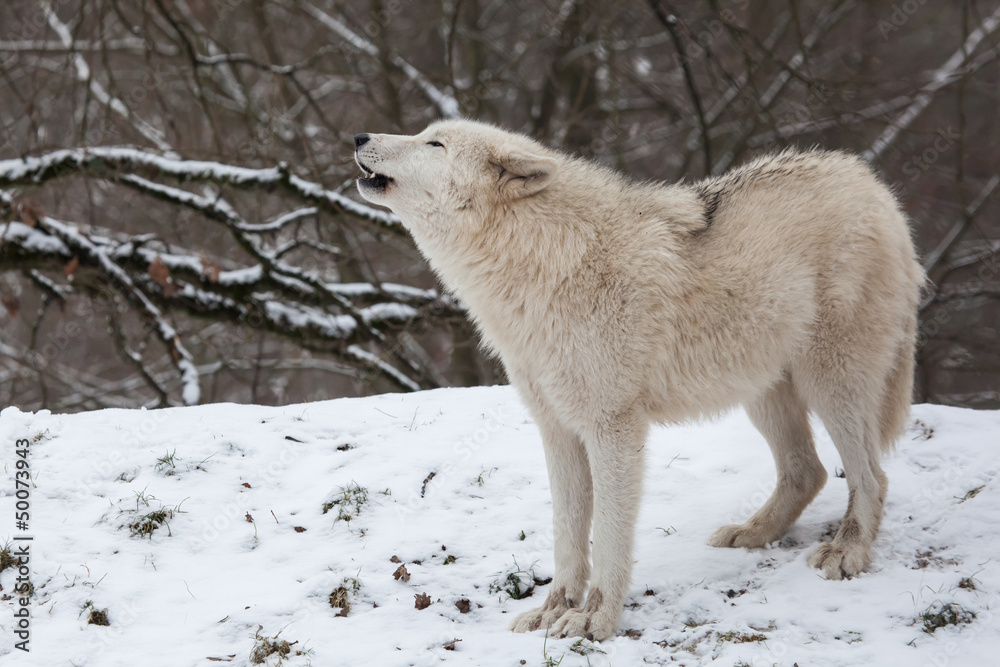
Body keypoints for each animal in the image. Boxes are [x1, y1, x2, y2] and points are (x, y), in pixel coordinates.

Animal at [354, 120, 924, 641]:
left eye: (434, 143)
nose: (358, 138)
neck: (546, 261)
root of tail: (872, 184)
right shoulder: (557, 429)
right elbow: (566, 534)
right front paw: (552, 611)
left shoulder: (614, 427)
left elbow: (607, 534)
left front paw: (593, 620)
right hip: (761, 391)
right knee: (809, 472)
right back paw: (750, 533)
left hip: (831, 382)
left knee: (872, 476)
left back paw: (847, 551)